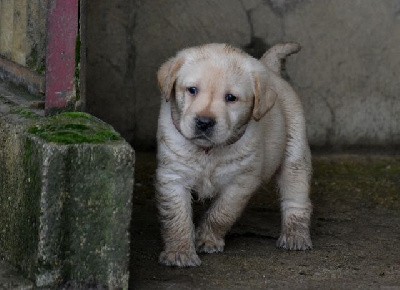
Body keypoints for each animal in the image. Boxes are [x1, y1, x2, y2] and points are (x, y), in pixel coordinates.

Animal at [156, 43, 312, 268]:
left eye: (231, 98)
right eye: (192, 90)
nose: (204, 122)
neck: (208, 151)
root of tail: (269, 69)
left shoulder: (240, 182)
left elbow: (221, 214)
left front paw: (206, 238)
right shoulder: (173, 176)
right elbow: (177, 217)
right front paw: (180, 252)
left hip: (295, 154)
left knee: (296, 198)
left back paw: (295, 235)